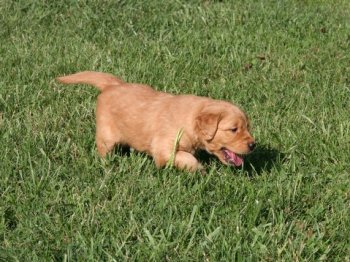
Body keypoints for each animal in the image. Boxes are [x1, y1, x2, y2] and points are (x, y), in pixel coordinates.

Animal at [56, 71, 254, 172]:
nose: (253, 145)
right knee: (103, 150)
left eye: (247, 127)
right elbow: (186, 157)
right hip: (106, 135)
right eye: (233, 129)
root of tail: (113, 85)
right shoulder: (164, 148)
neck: (189, 120)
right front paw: (199, 169)